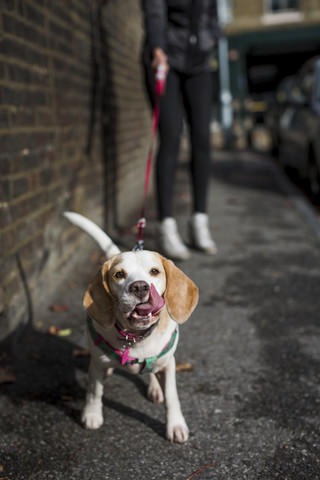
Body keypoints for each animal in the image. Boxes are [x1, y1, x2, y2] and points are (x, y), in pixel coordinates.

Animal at [63, 212, 199, 444]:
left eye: (154, 271)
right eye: (119, 274)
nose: (140, 287)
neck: (135, 337)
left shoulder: (168, 365)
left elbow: (172, 397)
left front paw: (175, 425)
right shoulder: (97, 364)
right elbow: (94, 391)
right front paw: (91, 414)